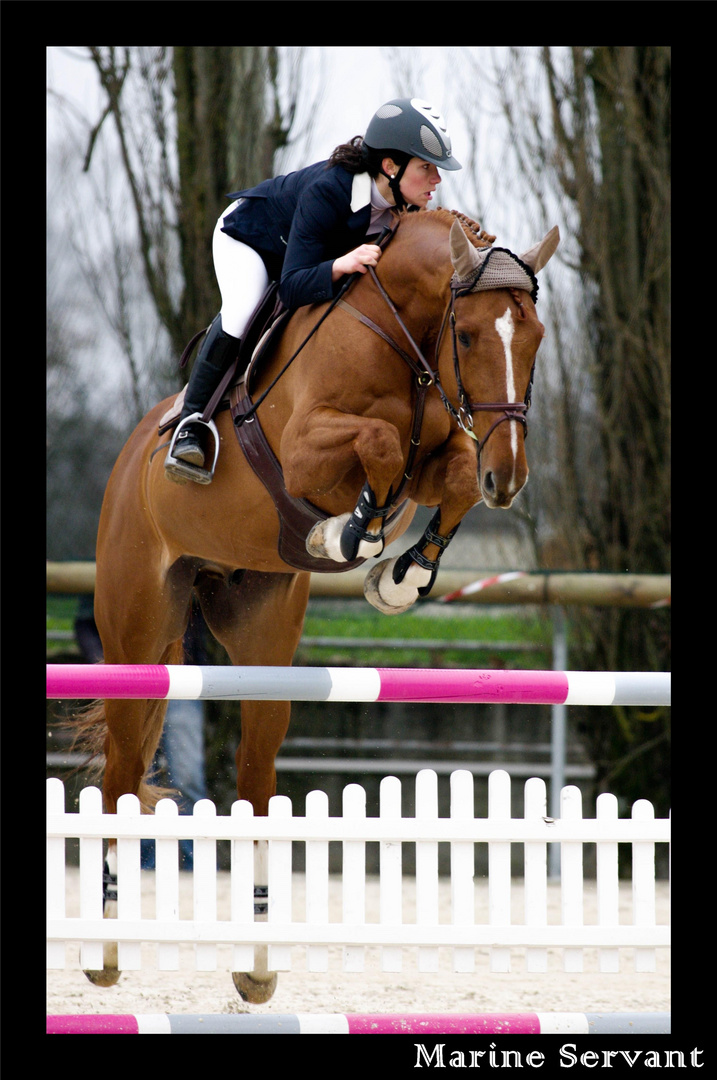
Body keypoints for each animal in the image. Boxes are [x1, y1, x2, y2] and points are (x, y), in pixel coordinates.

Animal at [75, 206, 557, 997]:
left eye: (536, 337)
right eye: (465, 335)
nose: (509, 478)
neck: (403, 336)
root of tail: (125, 461)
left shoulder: (444, 455)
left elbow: (450, 472)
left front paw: (400, 576)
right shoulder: (307, 450)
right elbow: (380, 444)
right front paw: (350, 532)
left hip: (263, 636)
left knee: (254, 779)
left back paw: (255, 965)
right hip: (136, 630)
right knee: (119, 774)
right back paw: (106, 949)